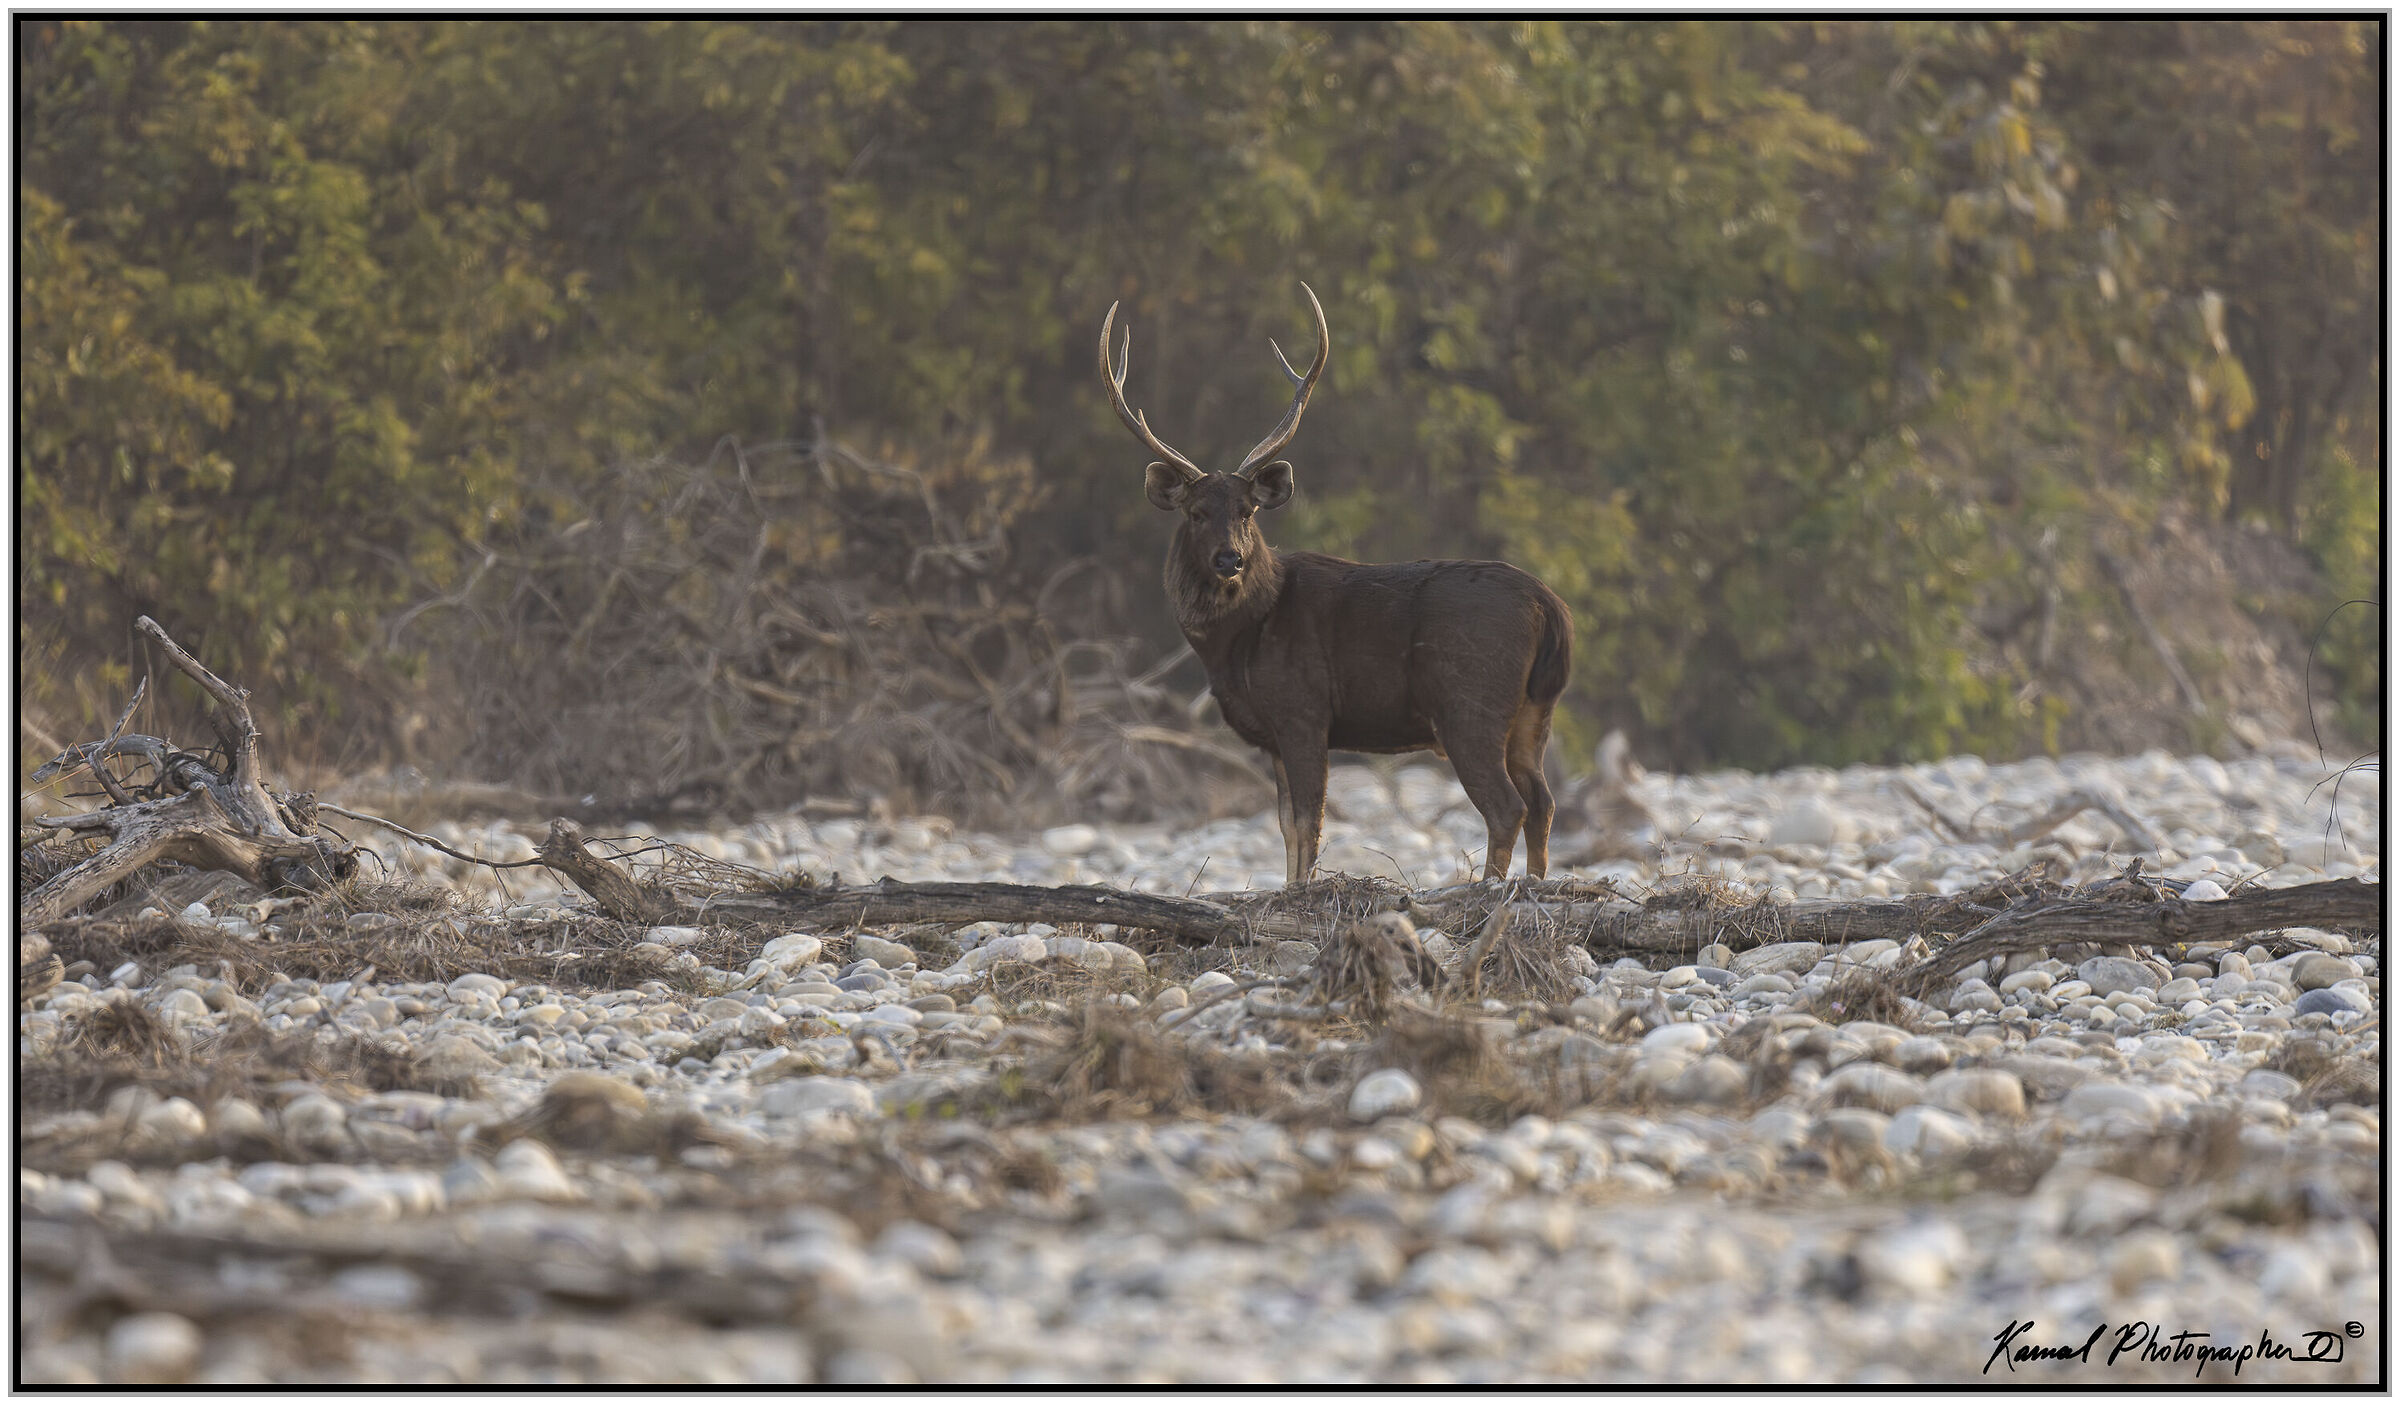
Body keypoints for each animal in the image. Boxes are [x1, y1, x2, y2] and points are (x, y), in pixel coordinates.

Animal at [1100, 283, 1574, 887]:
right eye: (1196, 512)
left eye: (1248, 510)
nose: (1231, 558)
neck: (1240, 640)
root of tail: (1551, 607)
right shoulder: (1276, 733)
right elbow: (1285, 826)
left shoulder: (1302, 709)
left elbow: (1308, 822)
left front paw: (1299, 891)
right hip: (1537, 709)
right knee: (1543, 801)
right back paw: (1533, 884)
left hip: (1471, 703)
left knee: (1506, 805)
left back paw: (1489, 888)